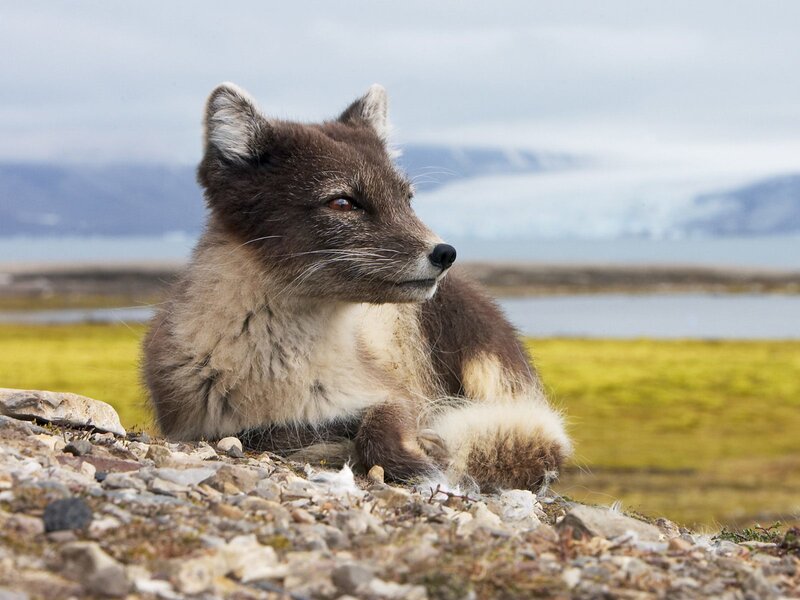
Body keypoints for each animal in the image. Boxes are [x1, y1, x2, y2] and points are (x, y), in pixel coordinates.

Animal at [142, 82, 571, 491]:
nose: (445, 253)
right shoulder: (204, 424)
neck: (282, 372)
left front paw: (420, 457)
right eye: (343, 202)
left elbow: (380, 429)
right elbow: (269, 434)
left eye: (407, 199)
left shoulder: (393, 393)